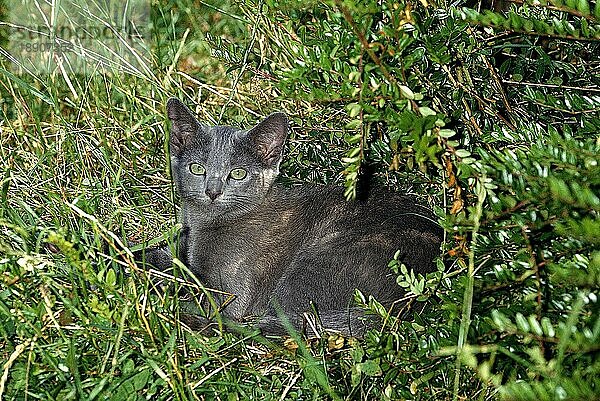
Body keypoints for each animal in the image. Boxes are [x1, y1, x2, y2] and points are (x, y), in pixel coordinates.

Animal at [137, 98, 446, 336]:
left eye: (238, 173)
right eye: (197, 168)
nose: (213, 191)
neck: (203, 222)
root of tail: (408, 305)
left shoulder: (229, 291)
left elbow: (195, 289)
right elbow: (162, 258)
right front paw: (129, 256)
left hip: (315, 264)